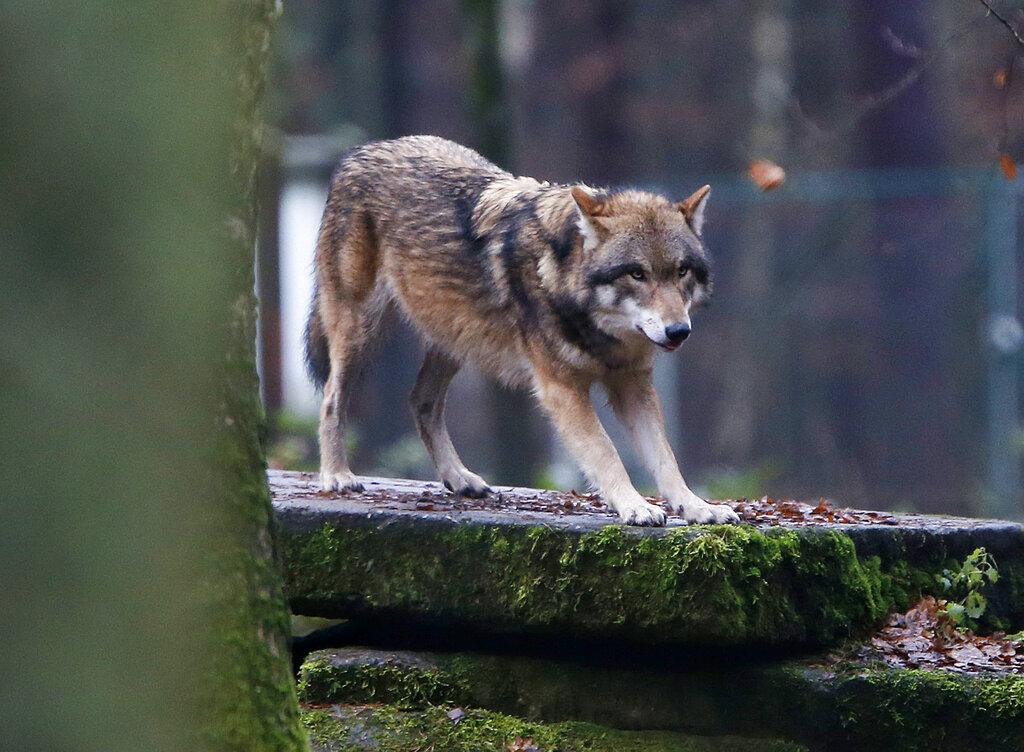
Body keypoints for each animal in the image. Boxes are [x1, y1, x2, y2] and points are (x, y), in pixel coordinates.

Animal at [303, 135, 737, 528]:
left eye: (681, 271)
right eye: (637, 273)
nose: (679, 331)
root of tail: (361, 151)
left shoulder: (634, 386)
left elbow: (666, 459)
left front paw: (697, 506)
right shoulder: (562, 389)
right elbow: (606, 452)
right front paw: (635, 506)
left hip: (455, 338)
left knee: (420, 401)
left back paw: (459, 478)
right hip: (361, 331)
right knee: (332, 399)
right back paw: (336, 476)